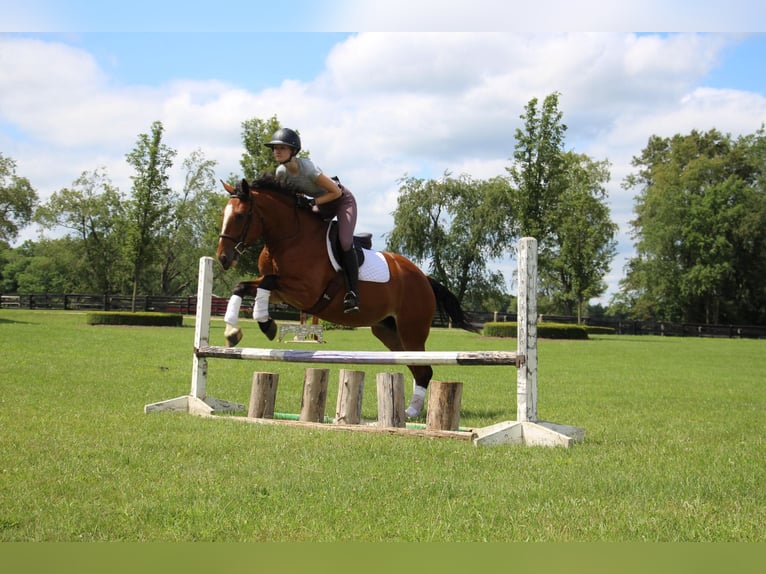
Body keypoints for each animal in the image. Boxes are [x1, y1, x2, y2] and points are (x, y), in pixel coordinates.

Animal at [216, 176, 476, 418]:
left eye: (239, 216)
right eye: (223, 214)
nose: (222, 259)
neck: (291, 237)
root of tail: (423, 277)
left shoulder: (304, 292)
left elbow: (267, 282)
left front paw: (266, 325)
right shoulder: (282, 294)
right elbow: (242, 286)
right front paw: (233, 331)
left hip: (411, 330)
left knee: (424, 369)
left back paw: (411, 412)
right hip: (388, 330)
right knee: (417, 365)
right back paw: (412, 409)